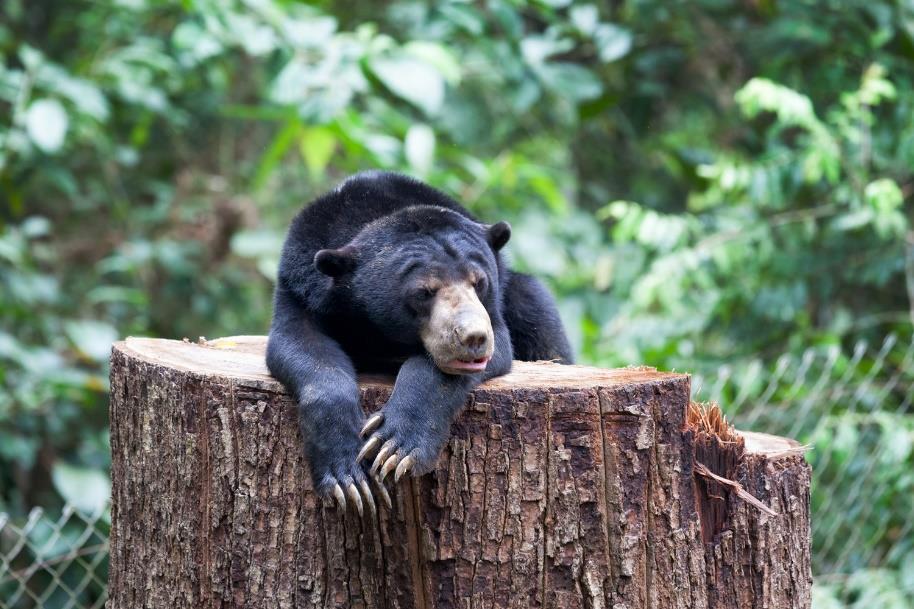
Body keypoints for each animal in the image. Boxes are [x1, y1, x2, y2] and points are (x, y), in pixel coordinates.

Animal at [264, 170, 572, 512]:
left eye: (479, 282)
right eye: (423, 292)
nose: (474, 337)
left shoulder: (494, 314)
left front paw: (394, 447)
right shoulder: (300, 286)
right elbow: (301, 346)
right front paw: (348, 478)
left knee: (536, 310)